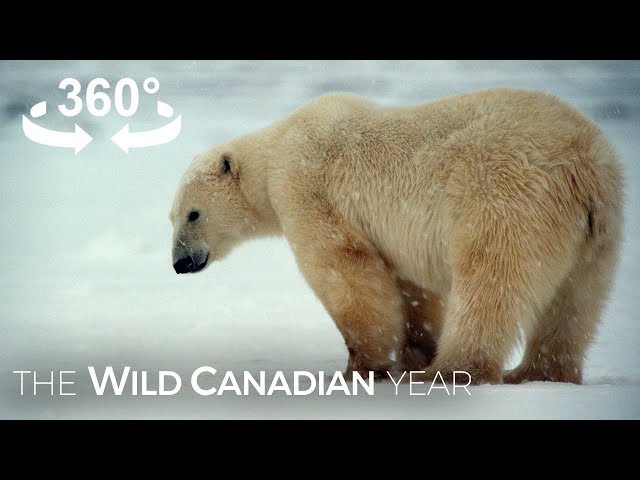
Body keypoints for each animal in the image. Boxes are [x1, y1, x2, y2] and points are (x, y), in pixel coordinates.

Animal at [172, 89, 624, 382]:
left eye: (192, 214)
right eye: (171, 216)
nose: (179, 263)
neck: (276, 150)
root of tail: (583, 163)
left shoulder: (307, 187)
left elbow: (344, 268)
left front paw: (363, 367)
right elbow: (411, 287)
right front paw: (414, 352)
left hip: (506, 196)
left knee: (490, 279)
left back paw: (452, 371)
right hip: (599, 229)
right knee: (576, 299)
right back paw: (538, 372)